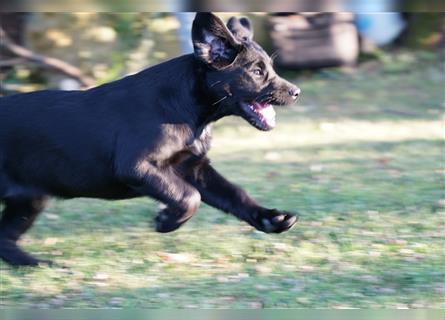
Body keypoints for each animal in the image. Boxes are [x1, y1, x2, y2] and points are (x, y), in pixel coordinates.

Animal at [0, 13, 300, 268]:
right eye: (257, 72)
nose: (296, 92)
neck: (189, 110)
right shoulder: (136, 166)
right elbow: (189, 196)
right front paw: (166, 221)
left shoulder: (192, 167)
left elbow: (234, 193)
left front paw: (271, 218)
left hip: (30, 199)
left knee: (5, 241)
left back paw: (37, 264)